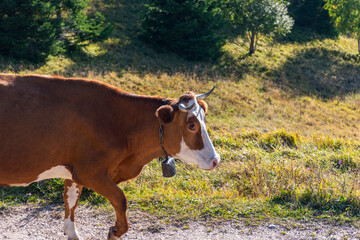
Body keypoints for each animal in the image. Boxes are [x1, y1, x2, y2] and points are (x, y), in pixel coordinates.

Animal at [0, 74, 219, 239]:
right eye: (191, 125)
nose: (216, 160)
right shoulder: (90, 172)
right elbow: (121, 199)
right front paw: (115, 231)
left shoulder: (74, 171)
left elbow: (71, 199)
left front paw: (72, 233)